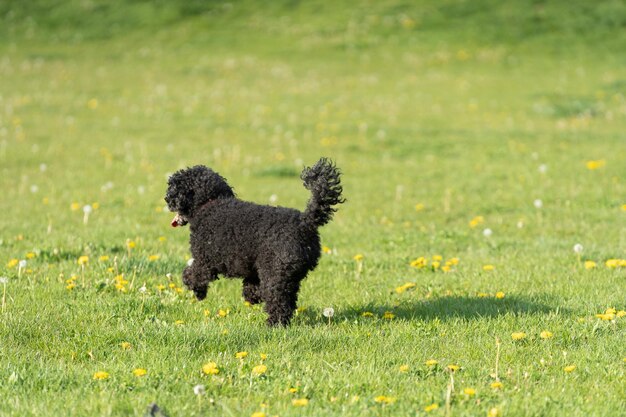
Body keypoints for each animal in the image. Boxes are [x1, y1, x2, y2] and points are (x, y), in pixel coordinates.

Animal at [163, 158, 344, 324]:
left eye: (175, 187)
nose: (166, 198)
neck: (209, 204)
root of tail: (306, 221)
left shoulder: (205, 261)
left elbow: (194, 274)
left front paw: (196, 289)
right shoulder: (251, 265)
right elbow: (251, 284)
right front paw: (253, 296)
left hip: (276, 272)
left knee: (279, 302)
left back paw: (274, 324)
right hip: (288, 273)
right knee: (288, 299)